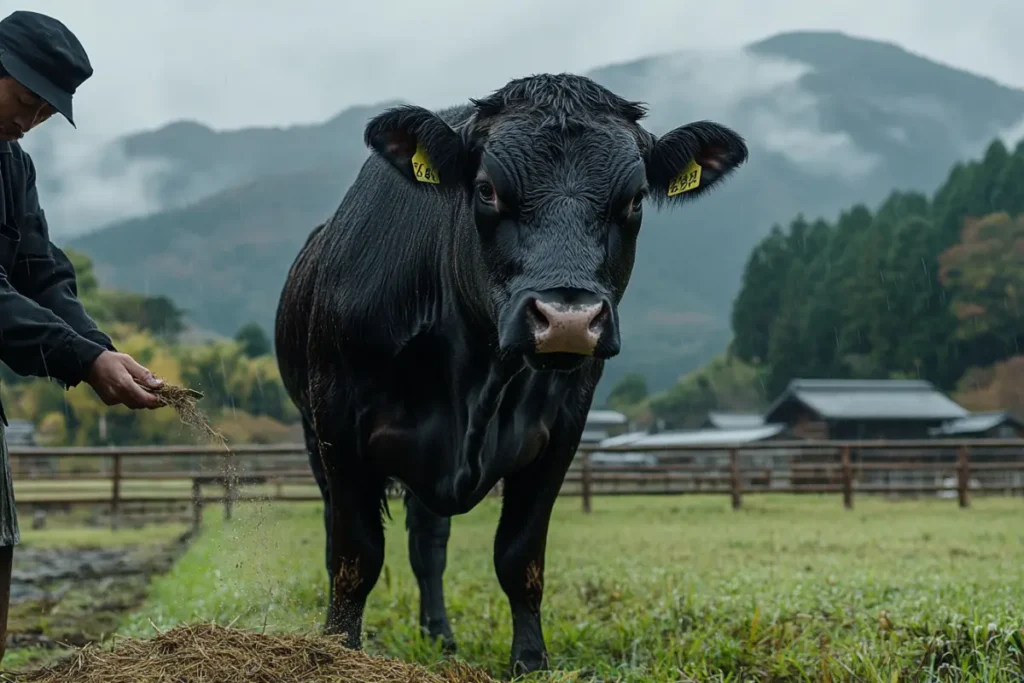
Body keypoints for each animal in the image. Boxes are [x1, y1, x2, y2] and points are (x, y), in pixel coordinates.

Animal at [276, 72, 749, 675]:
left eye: (635, 198)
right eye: (486, 189)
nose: (568, 319)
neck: (474, 376)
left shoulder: (562, 433)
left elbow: (519, 556)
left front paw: (530, 660)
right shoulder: (337, 421)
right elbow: (355, 553)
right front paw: (337, 650)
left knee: (428, 544)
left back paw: (440, 634)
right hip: (313, 434)